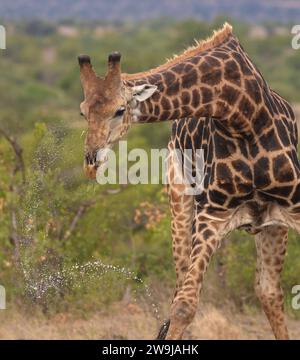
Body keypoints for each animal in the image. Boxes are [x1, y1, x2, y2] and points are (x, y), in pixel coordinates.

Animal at [78, 23, 300, 338]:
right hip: (180, 202)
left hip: (271, 225)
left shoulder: (292, 208)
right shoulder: (213, 215)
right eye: (82, 111)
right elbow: (184, 305)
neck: (243, 113)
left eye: (120, 110)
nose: (91, 160)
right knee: (185, 282)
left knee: (269, 292)